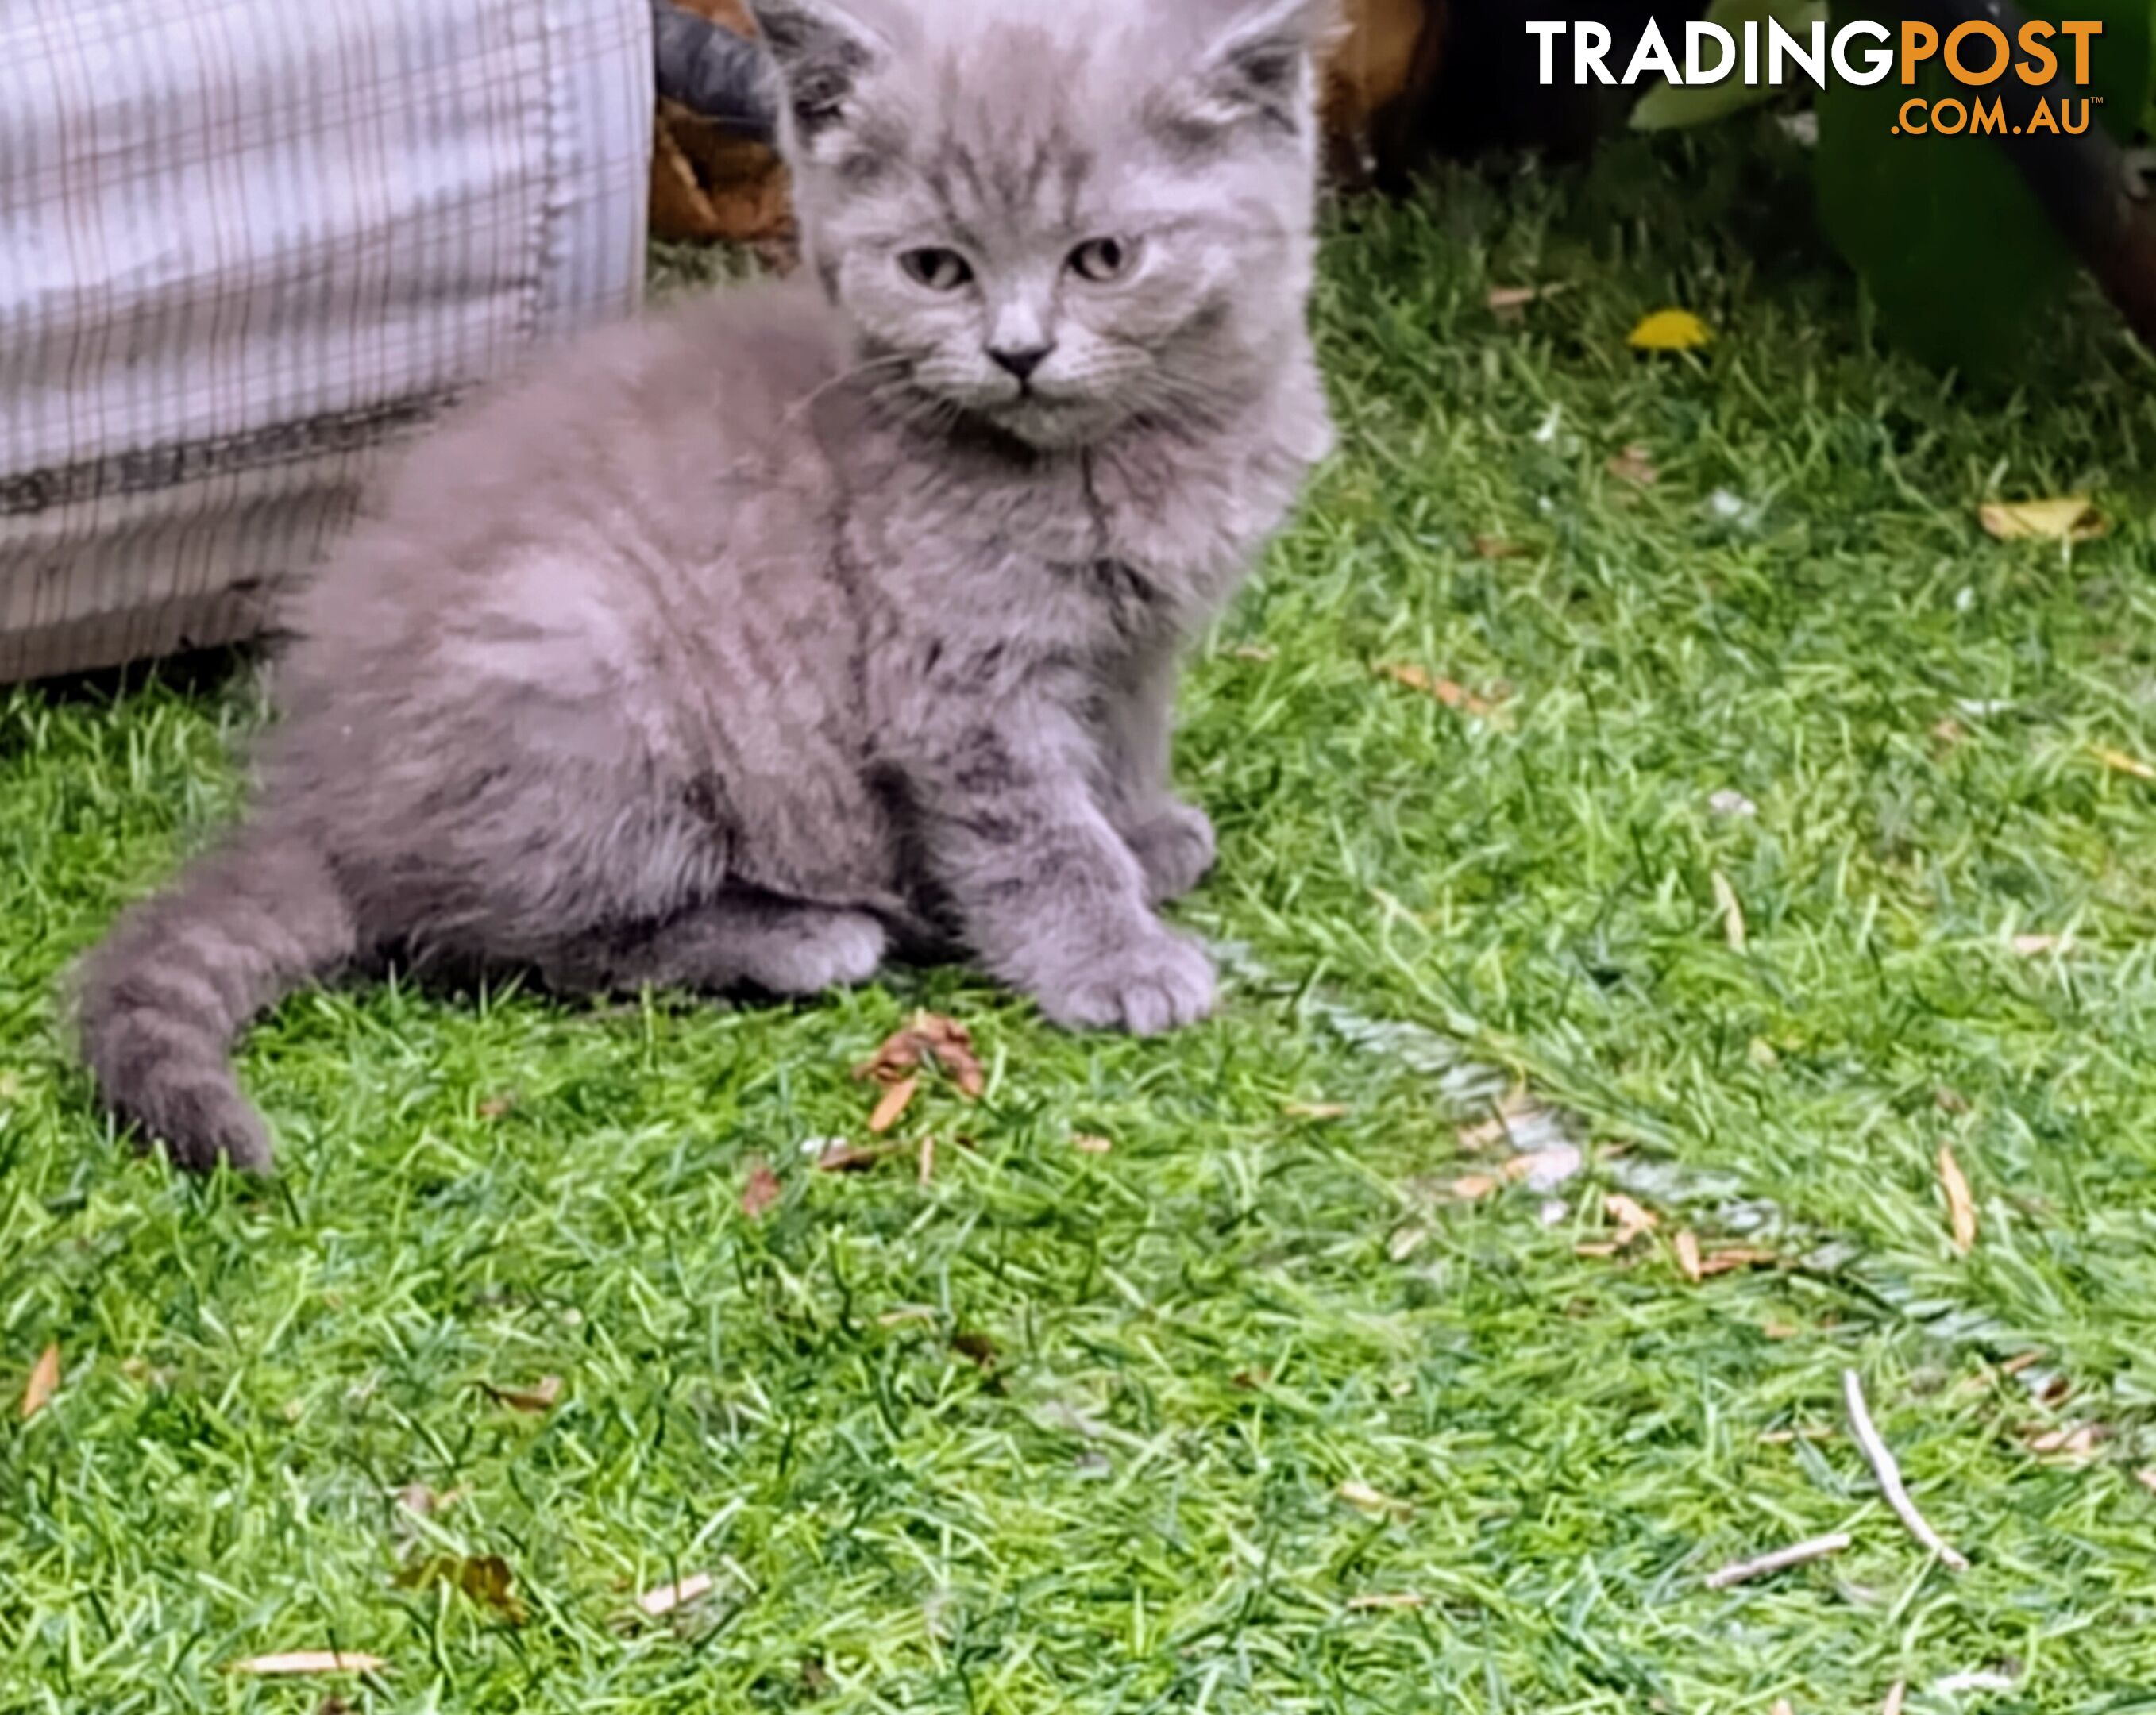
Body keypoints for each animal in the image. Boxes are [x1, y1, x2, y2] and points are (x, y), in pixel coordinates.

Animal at [71, 0, 1328, 1172]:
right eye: (935, 268)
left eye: (1102, 258)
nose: (1016, 352)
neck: (1112, 459)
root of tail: (316, 804)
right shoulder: (957, 681)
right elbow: (1032, 830)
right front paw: (1111, 956)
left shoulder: (1137, 638)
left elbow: (1121, 741)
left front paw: (1143, 833)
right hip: (579, 663)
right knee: (489, 938)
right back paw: (800, 937)